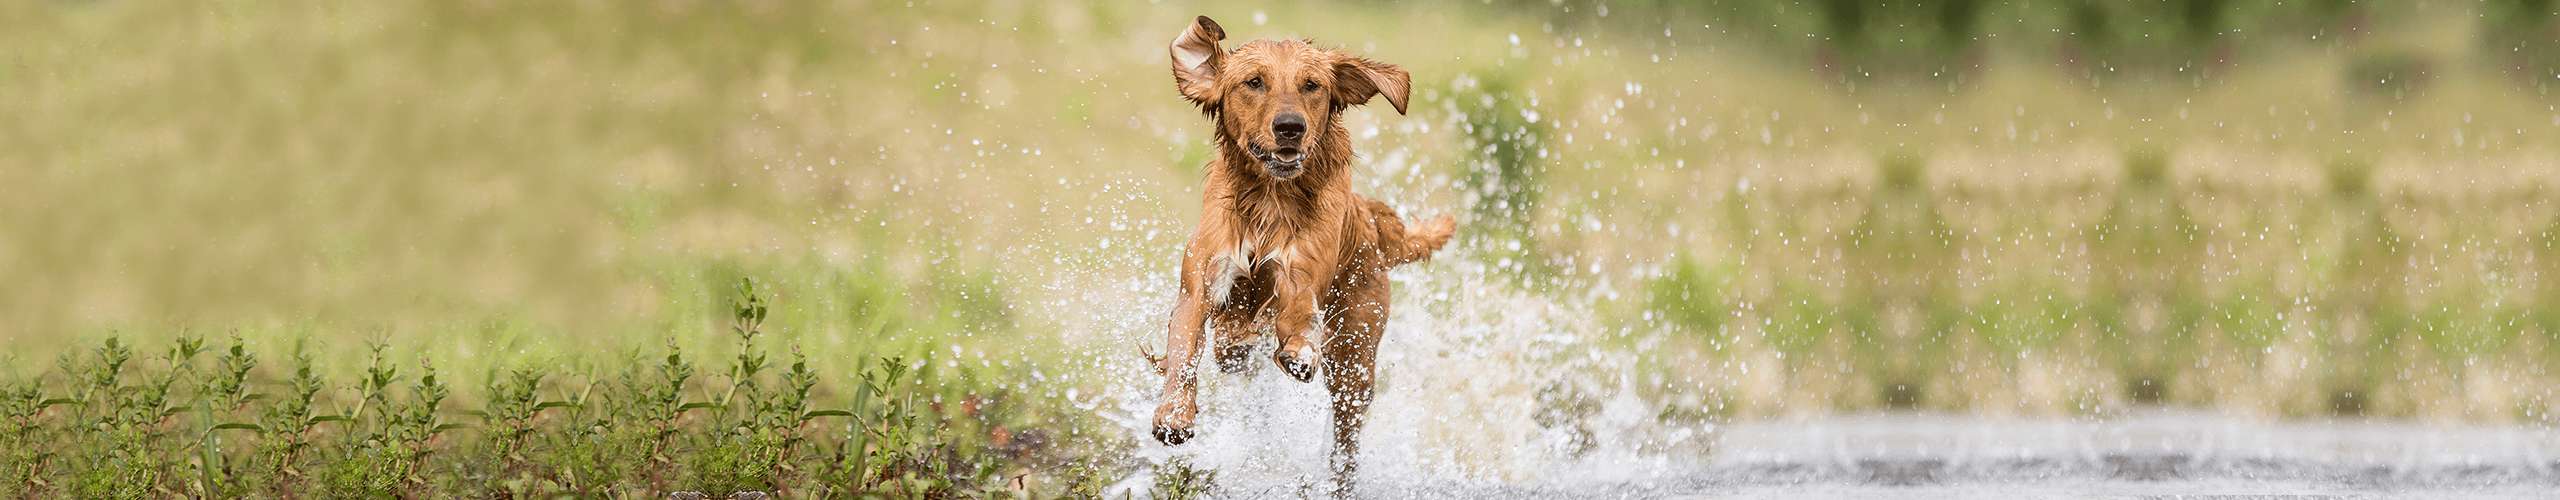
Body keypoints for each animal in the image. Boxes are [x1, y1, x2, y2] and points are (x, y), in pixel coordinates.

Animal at [1146, 14, 1464, 492]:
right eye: (1253, 82)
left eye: (1311, 85)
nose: (1290, 126)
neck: (1270, 200)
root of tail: (1371, 223)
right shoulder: (1201, 283)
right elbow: (1183, 352)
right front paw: (1174, 416)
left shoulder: (1300, 274)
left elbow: (1296, 315)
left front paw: (1298, 351)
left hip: (1355, 359)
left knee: (1346, 438)